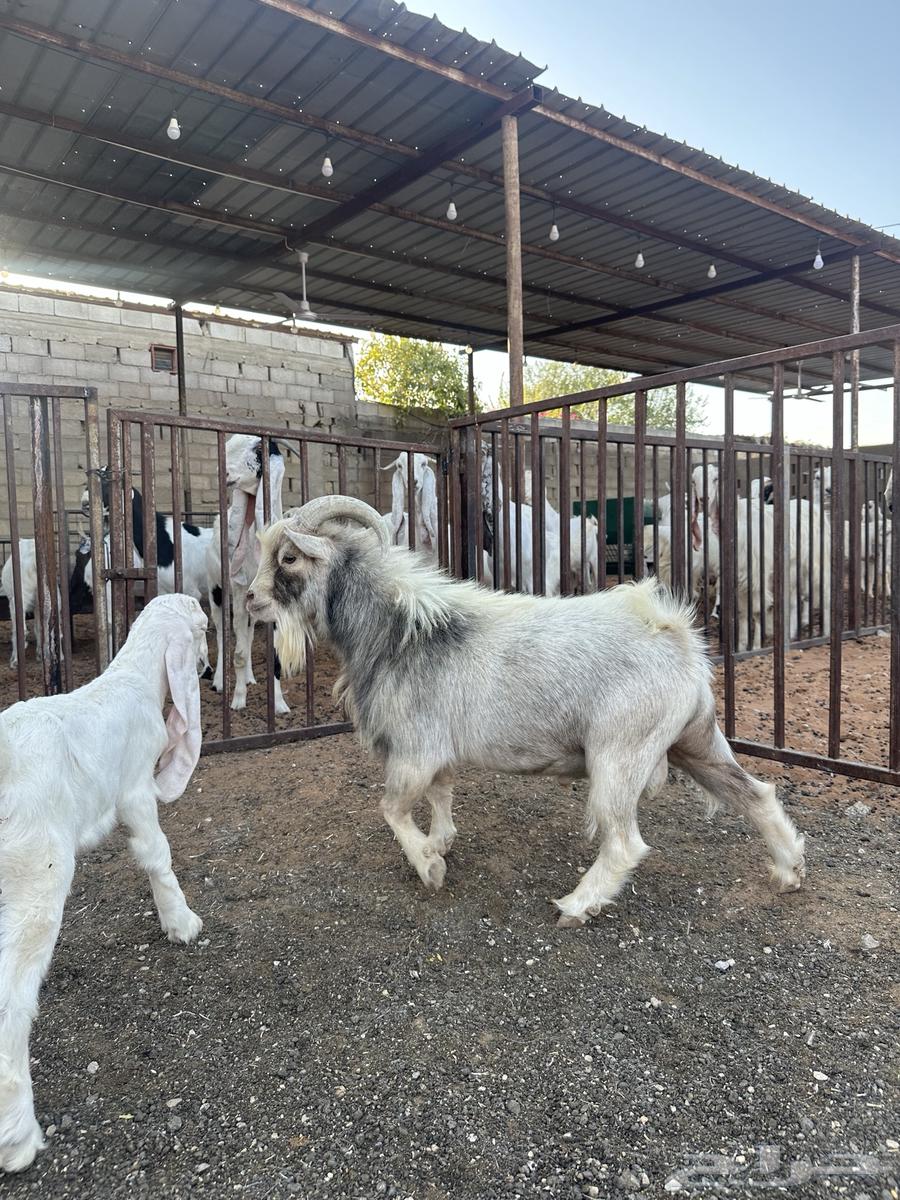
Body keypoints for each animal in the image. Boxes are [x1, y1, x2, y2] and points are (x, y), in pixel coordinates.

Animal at [0, 594, 208, 1174]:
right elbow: (156, 853)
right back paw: (18, 1135)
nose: (207, 670)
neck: (132, 679)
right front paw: (181, 922)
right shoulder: (134, 788)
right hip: (34, 871)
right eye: (205, 629)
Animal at [206, 434, 288, 712]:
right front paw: (238, 700)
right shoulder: (240, 589)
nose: (222, 472)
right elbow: (238, 652)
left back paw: (251, 677)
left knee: (250, 634)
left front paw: (279, 704)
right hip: (216, 589)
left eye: (257, 450)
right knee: (223, 633)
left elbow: (274, 655)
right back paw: (221, 682)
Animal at [246, 496, 805, 927]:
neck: (401, 631)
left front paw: (428, 867)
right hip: (696, 739)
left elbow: (392, 809)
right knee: (754, 793)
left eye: (289, 557)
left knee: (624, 842)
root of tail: (674, 634)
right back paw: (789, 870)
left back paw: (576, 905)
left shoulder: (414, 748)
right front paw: (442, 843)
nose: (250, 599)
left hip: (619, 753)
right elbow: (441, 793)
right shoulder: (437, 751)